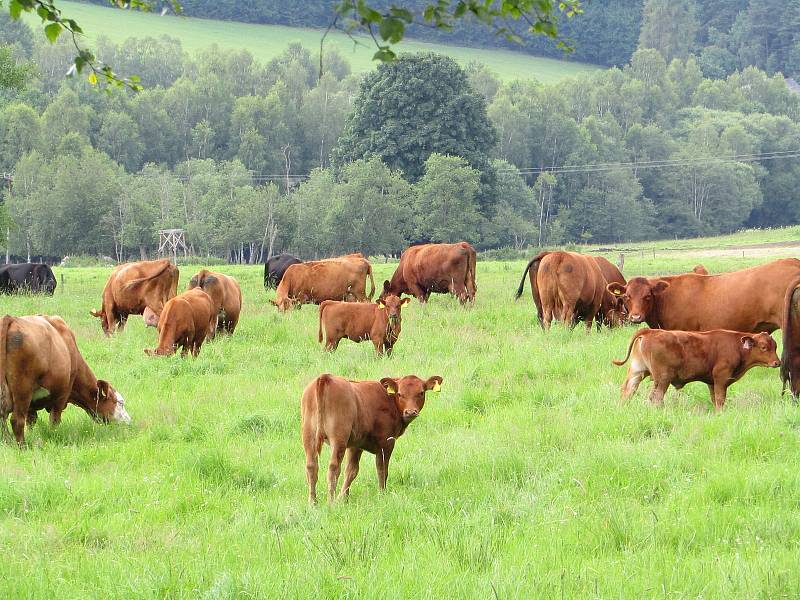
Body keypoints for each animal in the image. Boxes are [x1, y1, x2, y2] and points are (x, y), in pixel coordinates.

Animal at [0, 314, 130, 446]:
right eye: (120, 402)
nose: (129, 421)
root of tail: (11, 318)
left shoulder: (32, 404)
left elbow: (32, 421)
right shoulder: (62, 395)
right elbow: (54, 421)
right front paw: (52, 437)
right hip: (23, 390)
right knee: (17, 420)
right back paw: (22, 447)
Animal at [298, 372, 440, 504]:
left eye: (421, 393)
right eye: (400, 394)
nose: (410, 412)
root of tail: (326, 377)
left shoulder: (355, 445)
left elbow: (351, 471)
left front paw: (343, 498)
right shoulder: (386, 443)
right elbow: (382, 470)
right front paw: (382, 494)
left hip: (308, 435)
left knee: (311, 466)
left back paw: (313, 502)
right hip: (338, 439)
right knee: (333, 468)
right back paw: (330, 502)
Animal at [616, 326, 780, 410]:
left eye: (775, 346)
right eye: (764, 347)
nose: (777, 362)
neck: (737, 346)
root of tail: (651, 331)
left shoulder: (712, 382)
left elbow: (714, 399)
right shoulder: (721, 378)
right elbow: (720, 399)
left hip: (637, 371)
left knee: (628, 390)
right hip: (662, 378)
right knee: (656, 397)